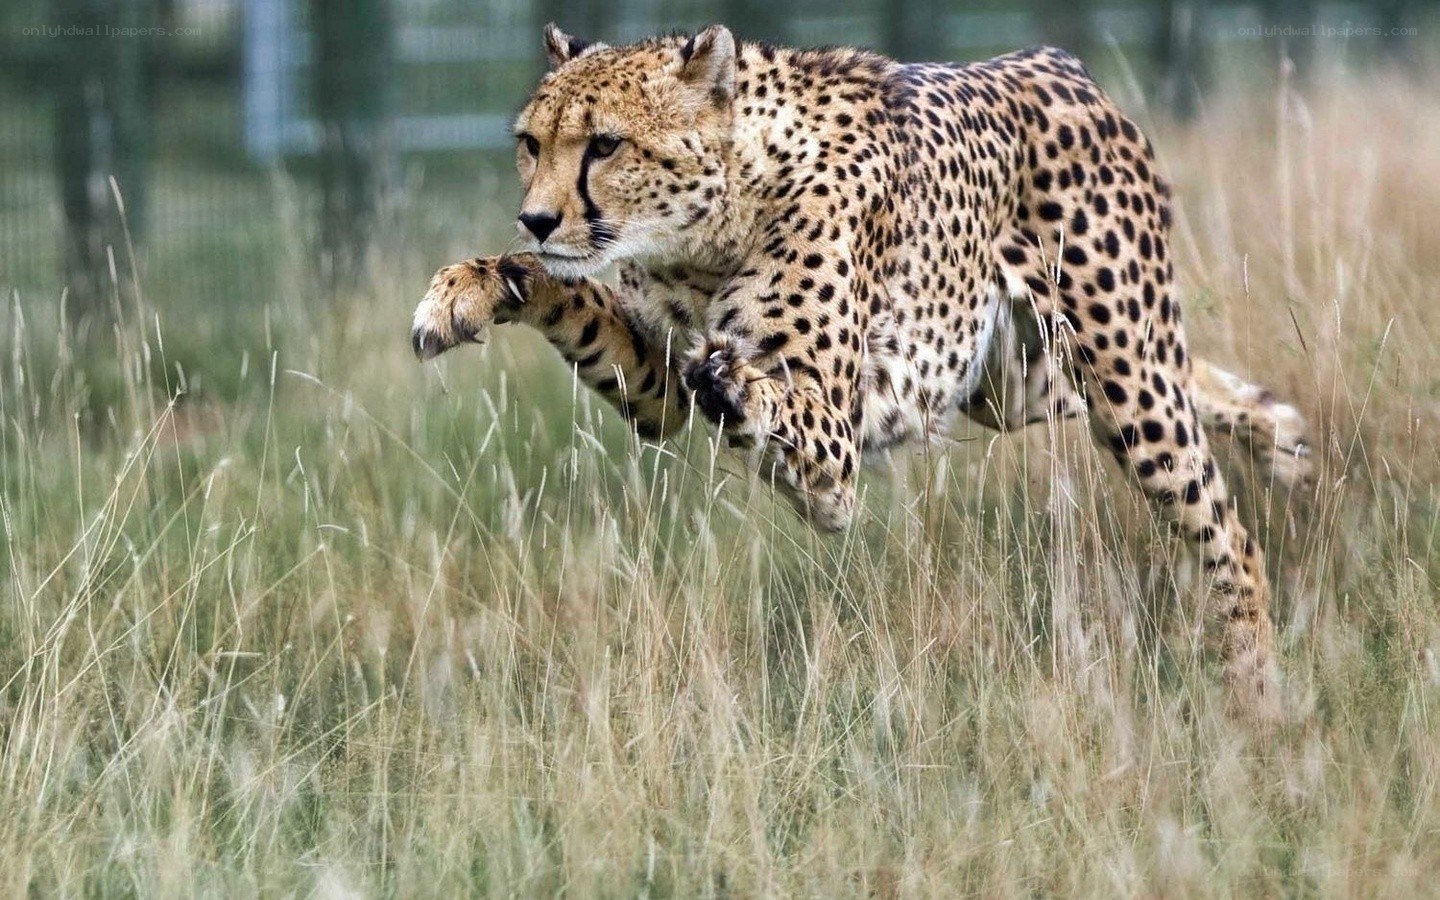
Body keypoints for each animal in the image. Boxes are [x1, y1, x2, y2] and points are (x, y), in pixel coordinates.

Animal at [409, 24, 1313, 713]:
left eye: (605, 145)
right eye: (532, 144)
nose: (536, 216)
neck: (705, 233)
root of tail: (1055, 60)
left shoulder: (835, 457)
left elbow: (771, 397)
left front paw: (734, 379)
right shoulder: (655, 380)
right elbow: (573, 297)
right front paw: (470, 288)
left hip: (1123, 379)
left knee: (1228, 533)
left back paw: (1254, 695)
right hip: (1023, 384)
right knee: (1198, 385)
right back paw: (1285, 440)